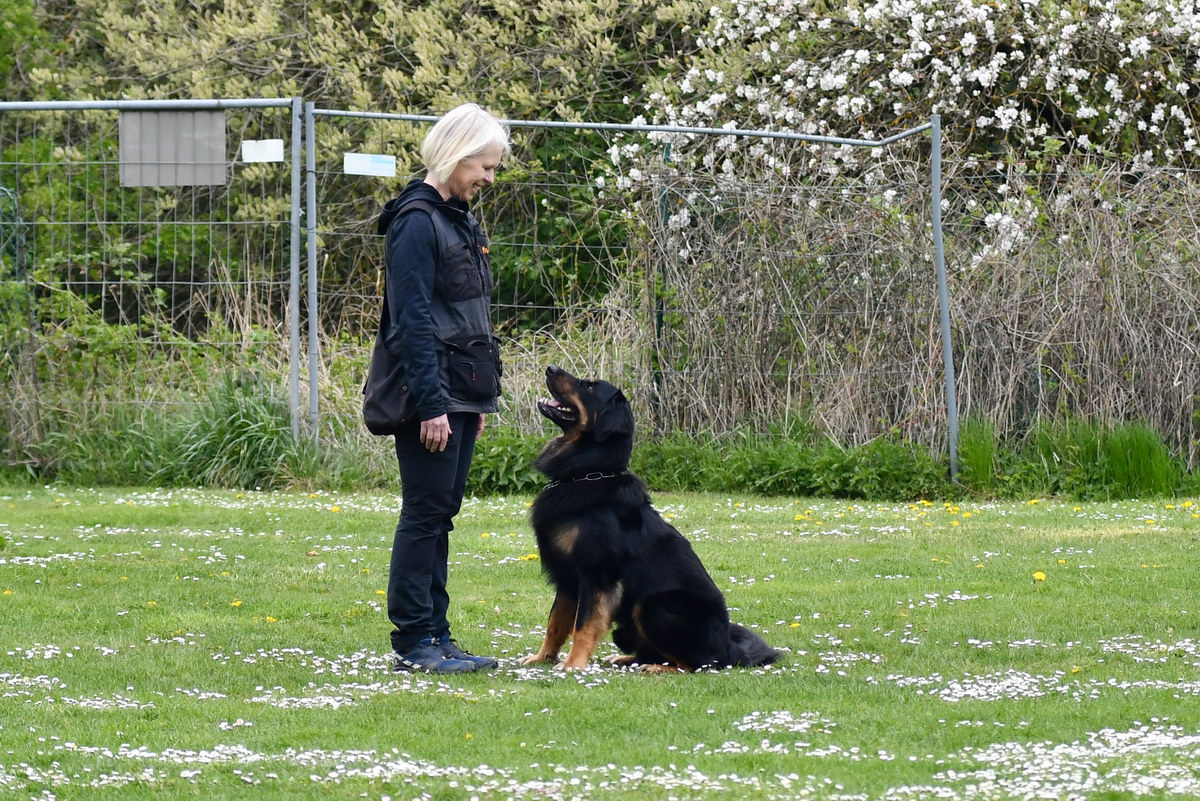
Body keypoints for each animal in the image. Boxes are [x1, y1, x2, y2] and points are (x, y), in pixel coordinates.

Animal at [520, 366, 782, 671]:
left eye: (589, 386)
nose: (550, 368)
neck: (586, 473)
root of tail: (729, 651)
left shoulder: (596, 576)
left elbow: (583, 625)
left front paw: (573, 665)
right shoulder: (567, 578)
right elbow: (555, 624)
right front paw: (542, 658)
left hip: (653, 606)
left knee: (698, 664)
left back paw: (656, 668)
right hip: (627, 627)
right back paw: (627, 659)